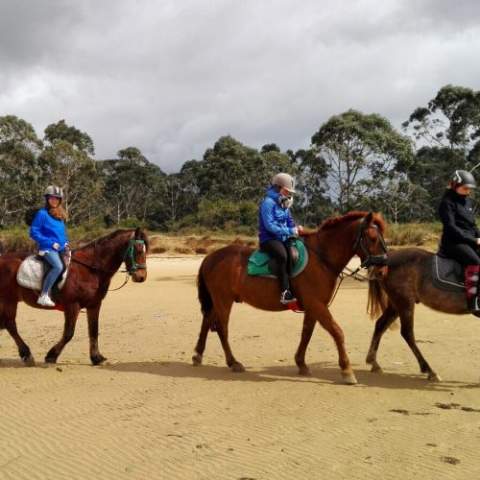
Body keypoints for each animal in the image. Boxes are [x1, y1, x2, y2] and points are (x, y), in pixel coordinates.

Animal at [0, 228, 148, 366]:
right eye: (138, 250)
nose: (141, 277)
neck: (90, 269)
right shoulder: (72, 305)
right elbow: (69, 333)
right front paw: (51, 356)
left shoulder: (94, 305)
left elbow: (94, 330)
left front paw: (96, 357)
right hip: (9, 300)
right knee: (11, 325)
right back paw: (27, 354)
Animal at [192, 211, 388, 384]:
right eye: (372, 238)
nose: (382, 270)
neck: (320, 258)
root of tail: (211, 257)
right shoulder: (317, 304)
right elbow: (337, 332)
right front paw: (347, 370)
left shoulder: (314, 306)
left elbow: (307, 333)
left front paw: (301, 363)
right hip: (223, 300)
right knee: (222, 329)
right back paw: (233, 362)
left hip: (217, 300)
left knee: (207, 321)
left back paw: (198, 355)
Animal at [366, 248, 475, 381]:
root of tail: (386, 260)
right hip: (405, 302)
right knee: (407, 333)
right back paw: (429, 371)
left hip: (396, 304)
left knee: (381, 325)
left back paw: (374, 363)